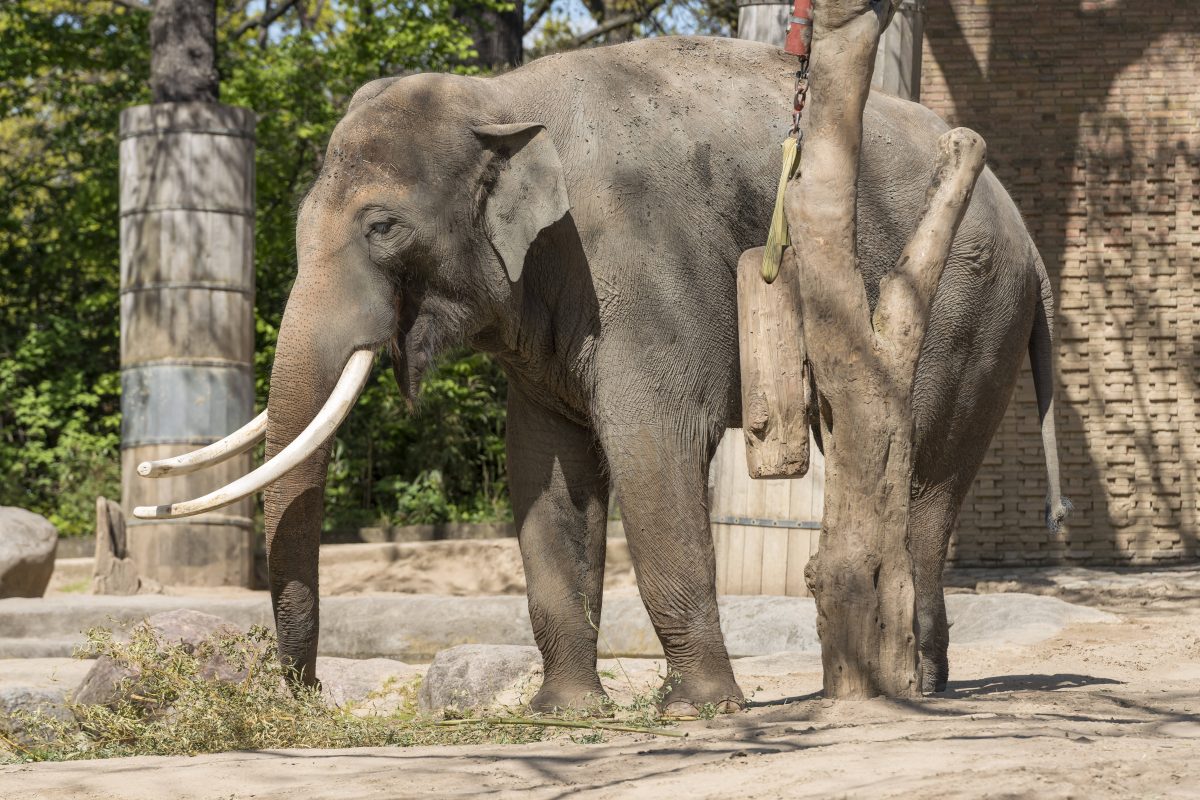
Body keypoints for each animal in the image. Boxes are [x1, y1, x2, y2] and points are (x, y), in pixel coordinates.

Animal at [138, 35, 1070, 714]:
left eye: (382, 227)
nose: (311, 700)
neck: (501, 97)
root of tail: (1030, 243)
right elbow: (545, 466)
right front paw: (568, 714)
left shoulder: (637, 261)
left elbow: (650, 440)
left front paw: (699, 710)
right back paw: (919, 681)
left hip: (963, 309)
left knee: (921, 474)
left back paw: (907, 686)